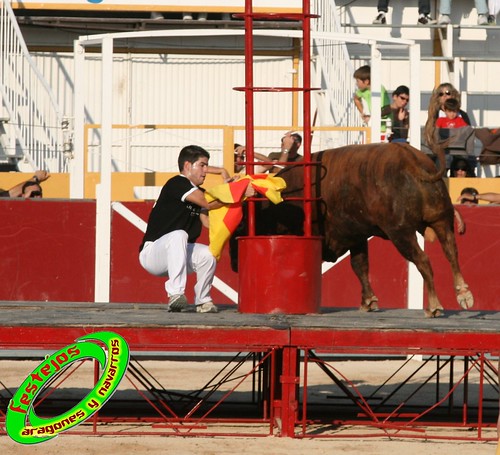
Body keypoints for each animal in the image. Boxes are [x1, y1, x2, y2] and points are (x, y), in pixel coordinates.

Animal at [266, 142, 472, 318]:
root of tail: (410, 159)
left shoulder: (352, 236)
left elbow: (357, 265)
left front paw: (368, 301)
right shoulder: (358, 236)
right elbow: (360, 265)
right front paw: (368, 301)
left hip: (401, 233)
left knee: (423, 260)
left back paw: (434, 306)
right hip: (441, 221)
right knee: (451, 252)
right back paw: (463, 293)